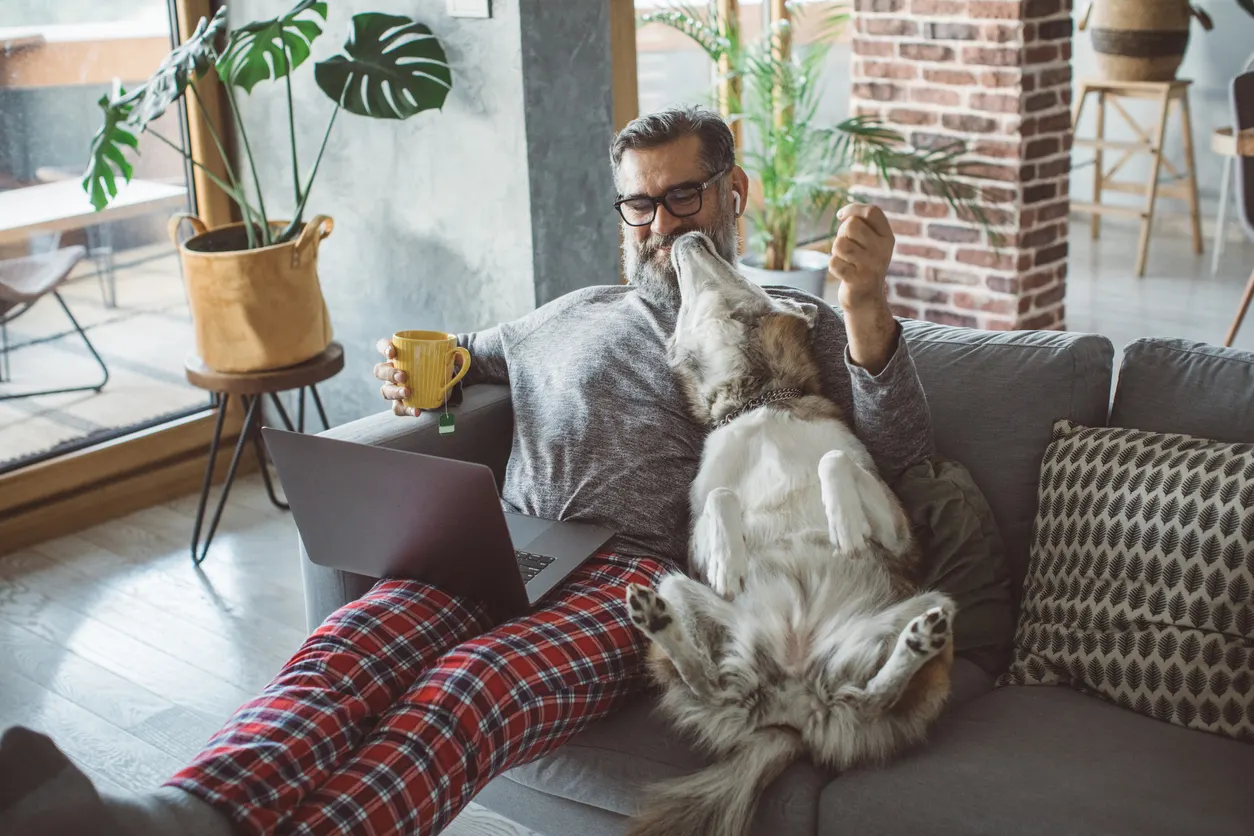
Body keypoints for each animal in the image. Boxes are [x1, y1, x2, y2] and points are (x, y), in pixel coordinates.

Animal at [621, 230, 953, 836]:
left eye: (740, 270)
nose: (689, 235)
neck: (760, 404)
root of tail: (792, 712)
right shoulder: (692, 540)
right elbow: (721, 502)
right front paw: (729, 559)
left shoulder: (900, 532)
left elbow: (832, 462)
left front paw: (844, 524)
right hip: (677, 584)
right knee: (706, 679)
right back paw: (659, 623)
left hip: (933, 604)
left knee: (872, 697)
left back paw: (916, 643)